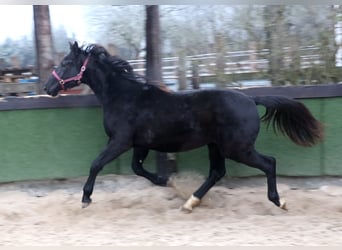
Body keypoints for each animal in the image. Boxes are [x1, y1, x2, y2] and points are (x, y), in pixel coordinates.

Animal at [44, 42, 324, 212]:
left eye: (65, 63)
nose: (48, 87)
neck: (124, 97)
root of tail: (250, 99)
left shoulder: (120, 141)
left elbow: (96, 164)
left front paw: (86, 198)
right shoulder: (140, 144)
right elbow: (137, 169)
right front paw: (167, 181)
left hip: (237, 148)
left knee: (269, 163)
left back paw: (279, 201)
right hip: (216, 146)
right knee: (217, 172)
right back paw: (190, 202)